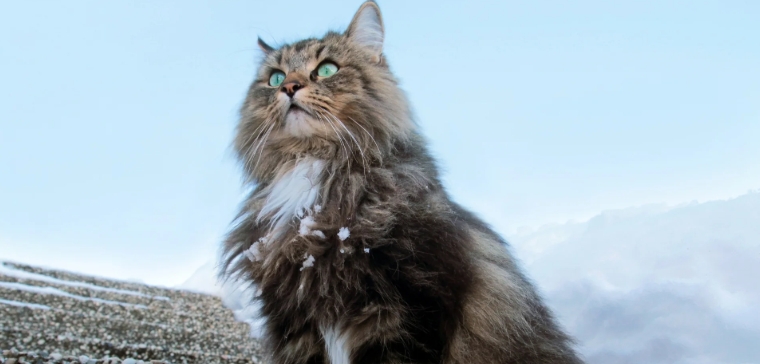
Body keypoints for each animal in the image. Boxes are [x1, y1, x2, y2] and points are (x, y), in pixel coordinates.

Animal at [220, 1, 580, 362]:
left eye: (326, 70)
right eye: (275, 77)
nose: (289, 88)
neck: (311, 168)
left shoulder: (407, 313)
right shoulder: (296, 327)